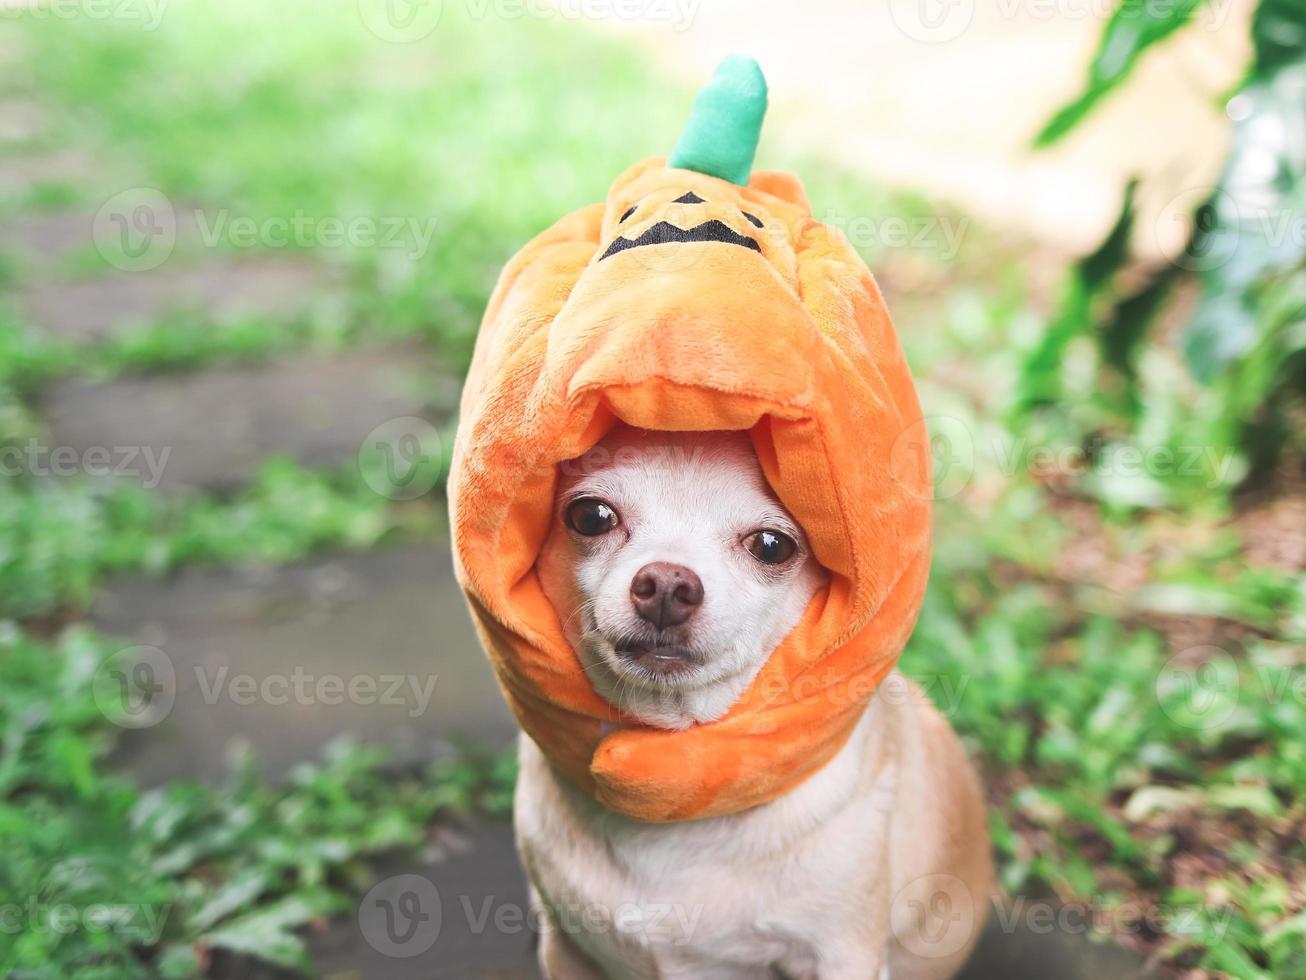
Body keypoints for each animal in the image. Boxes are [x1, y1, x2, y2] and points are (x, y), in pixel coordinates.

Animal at [514, 425, 992, 977]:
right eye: (591, 517)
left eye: (771, 546)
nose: (667, 582)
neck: (677, 766)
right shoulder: (569, 949)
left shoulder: (841, 955)